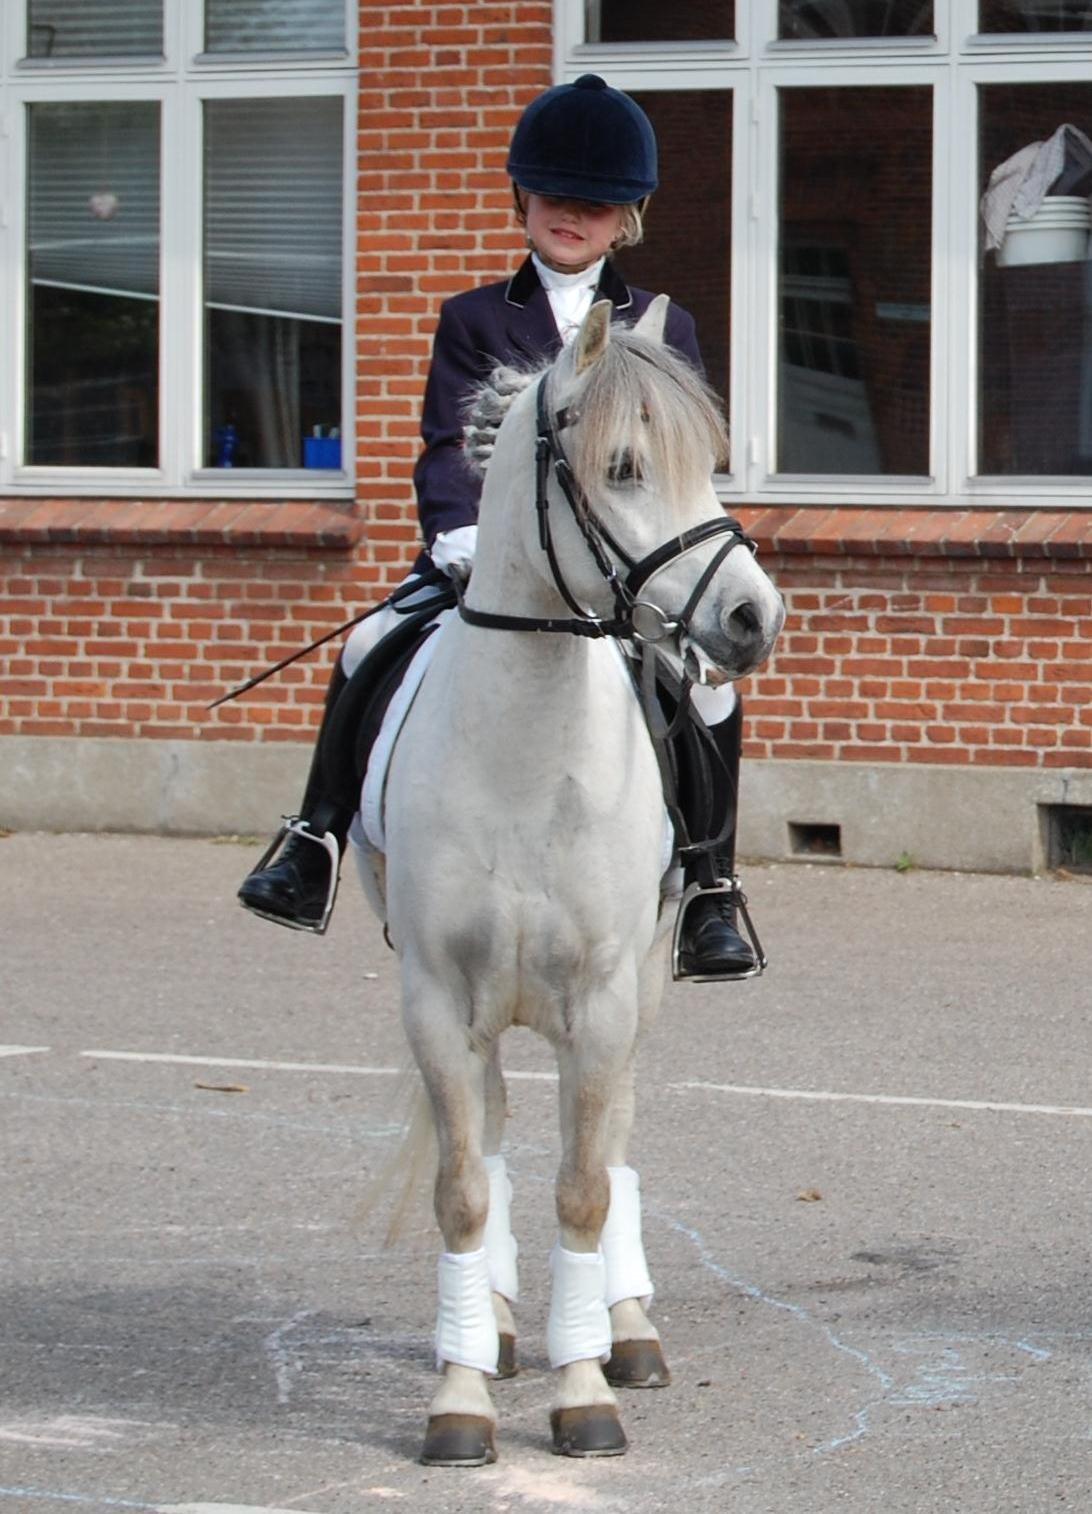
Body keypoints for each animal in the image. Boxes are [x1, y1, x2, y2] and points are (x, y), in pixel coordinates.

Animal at [360, 298, 781, 1465]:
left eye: (707, 461)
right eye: (626, 466)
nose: (754, 619)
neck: (524, 747)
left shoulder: (599, 999)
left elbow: (587, 1187)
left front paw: (586, 1386)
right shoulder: (435, 1001)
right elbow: (465, 1190)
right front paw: (460, 1396)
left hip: (642, 982)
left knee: (618, 1133)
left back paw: (623, 1329)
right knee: (500, 1133)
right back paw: (500, 1324)